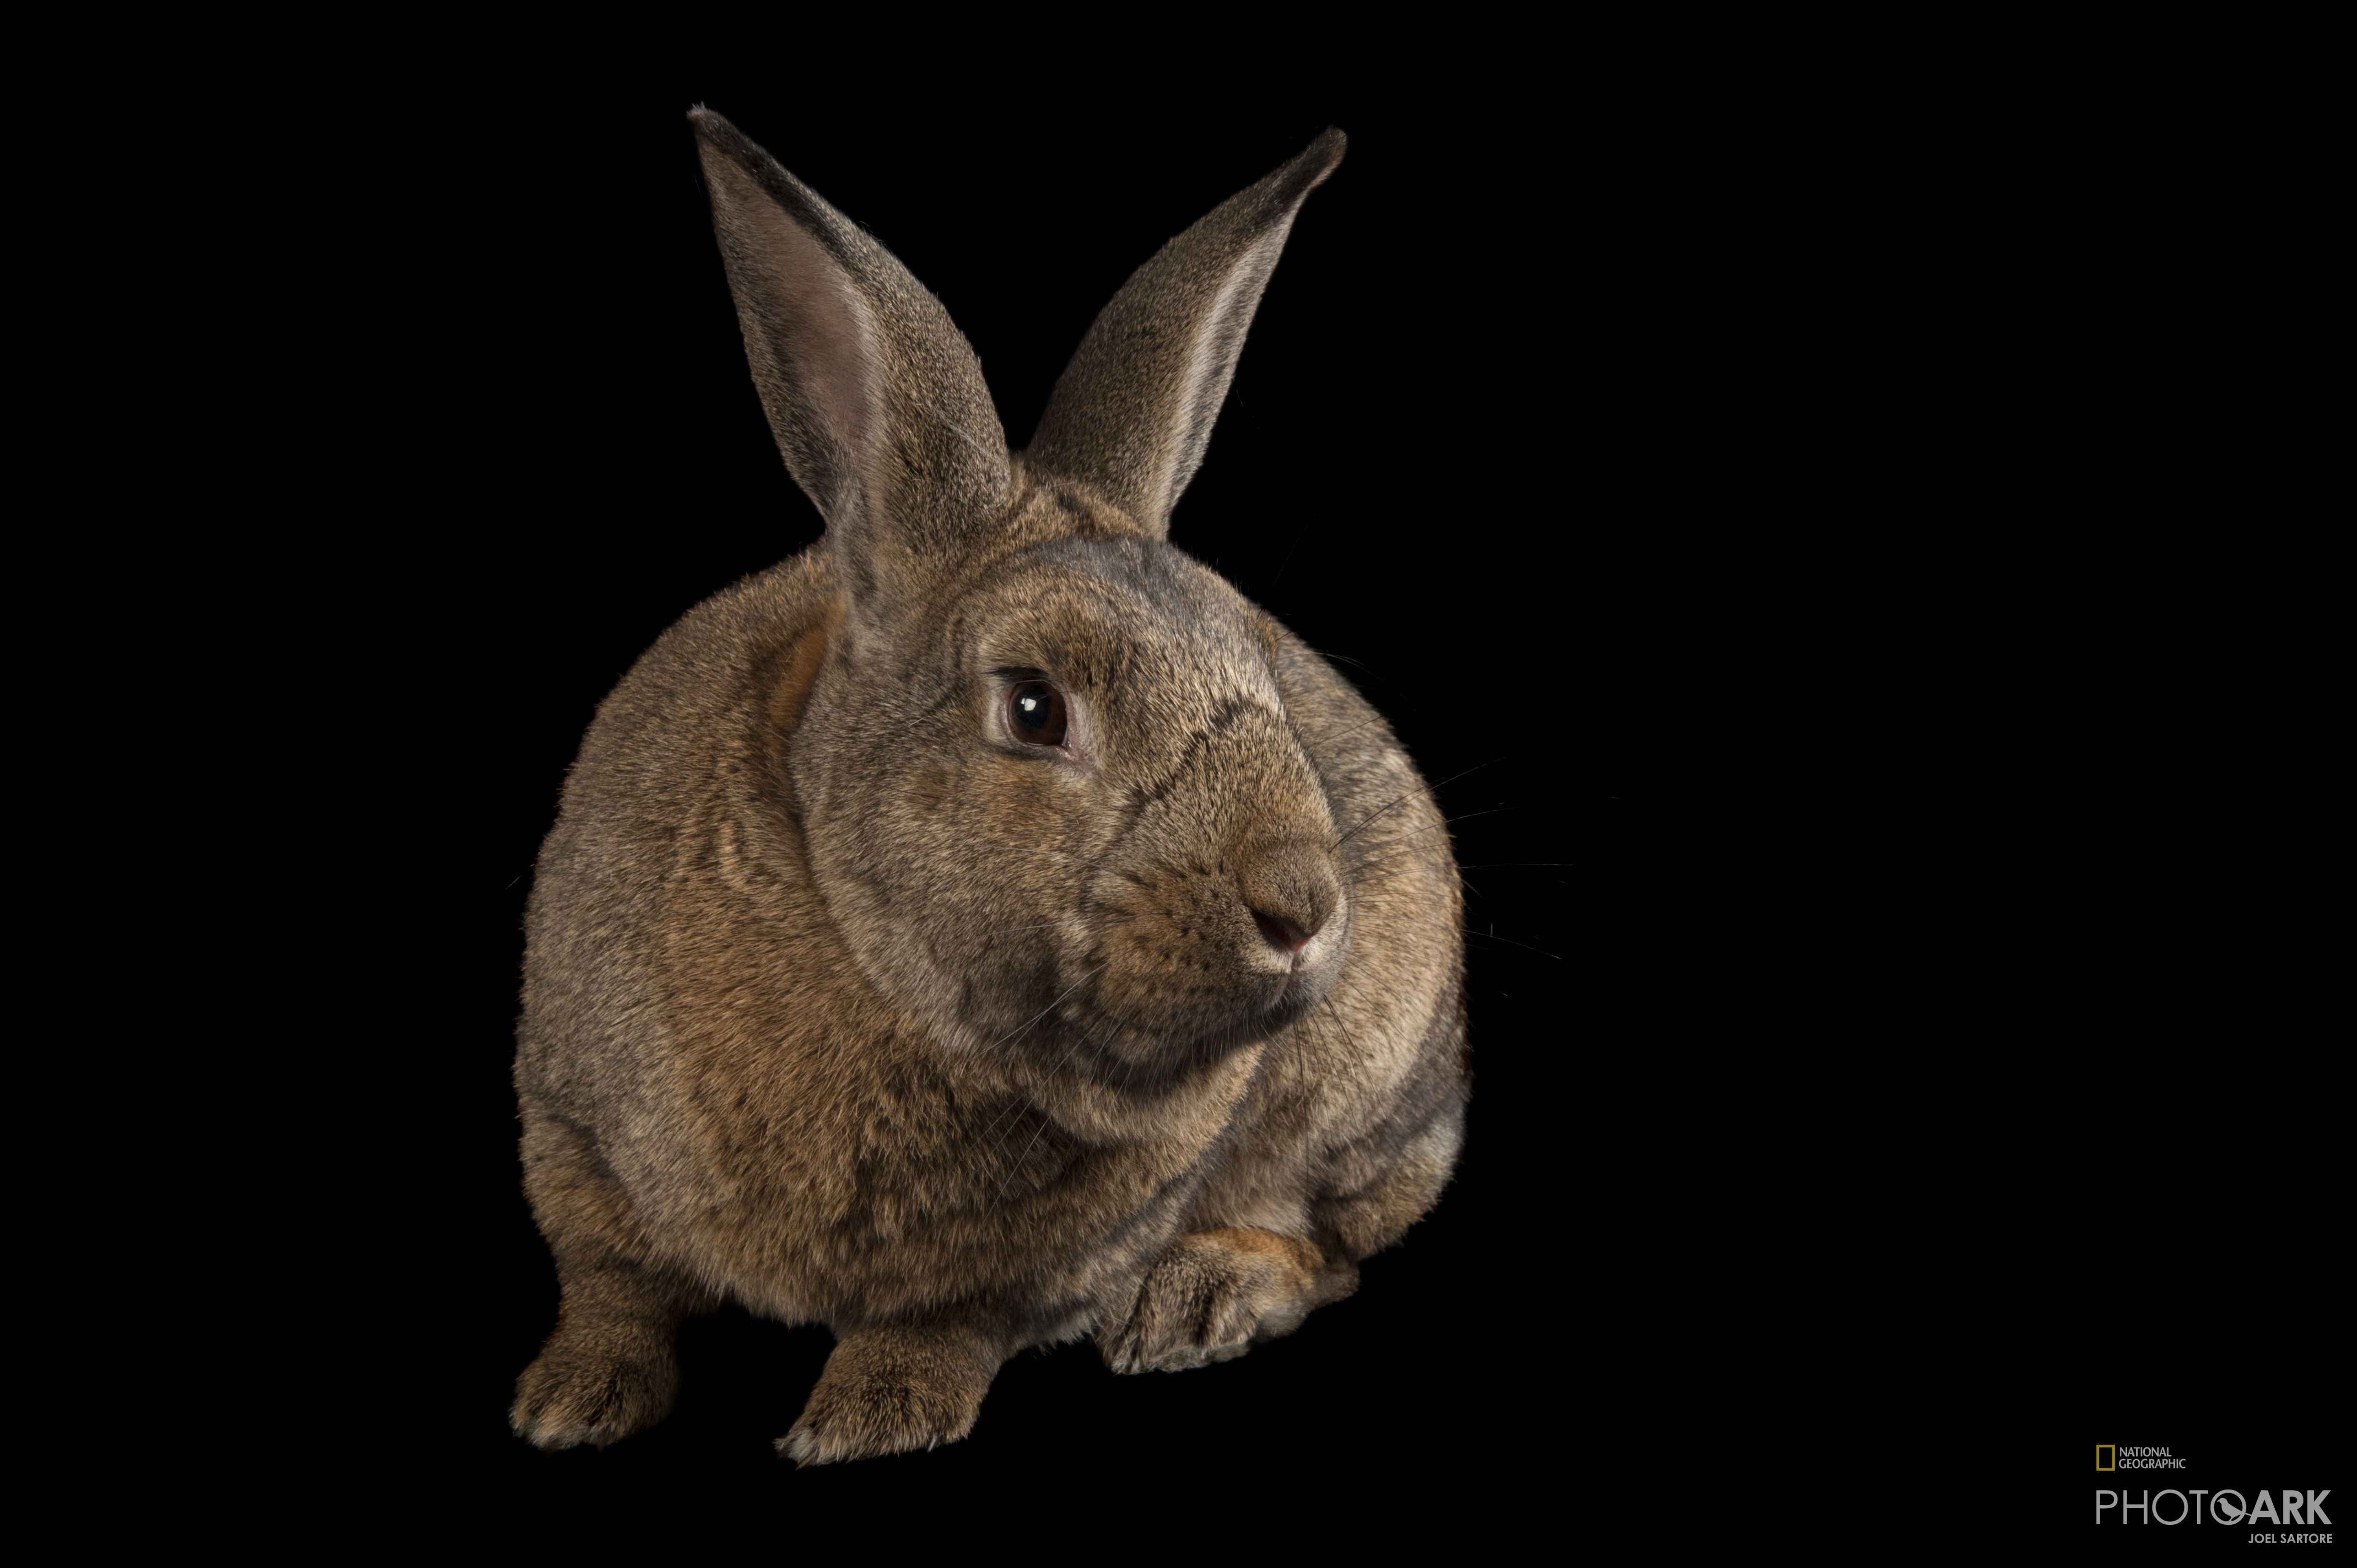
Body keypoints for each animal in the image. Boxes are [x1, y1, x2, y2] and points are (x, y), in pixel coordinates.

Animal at [509, 106, 1469, 1464]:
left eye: (1261, 666)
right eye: (1032, 707)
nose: (1303, 903)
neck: (867, 958)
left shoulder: (1047, 1258)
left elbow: (952, 1322)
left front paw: (865, 1419)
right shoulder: (571, 1124)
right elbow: (611, 1284)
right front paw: (569, 1400)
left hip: (1360, 1082)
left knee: (1326, 1241)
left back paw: (1200, 1299)